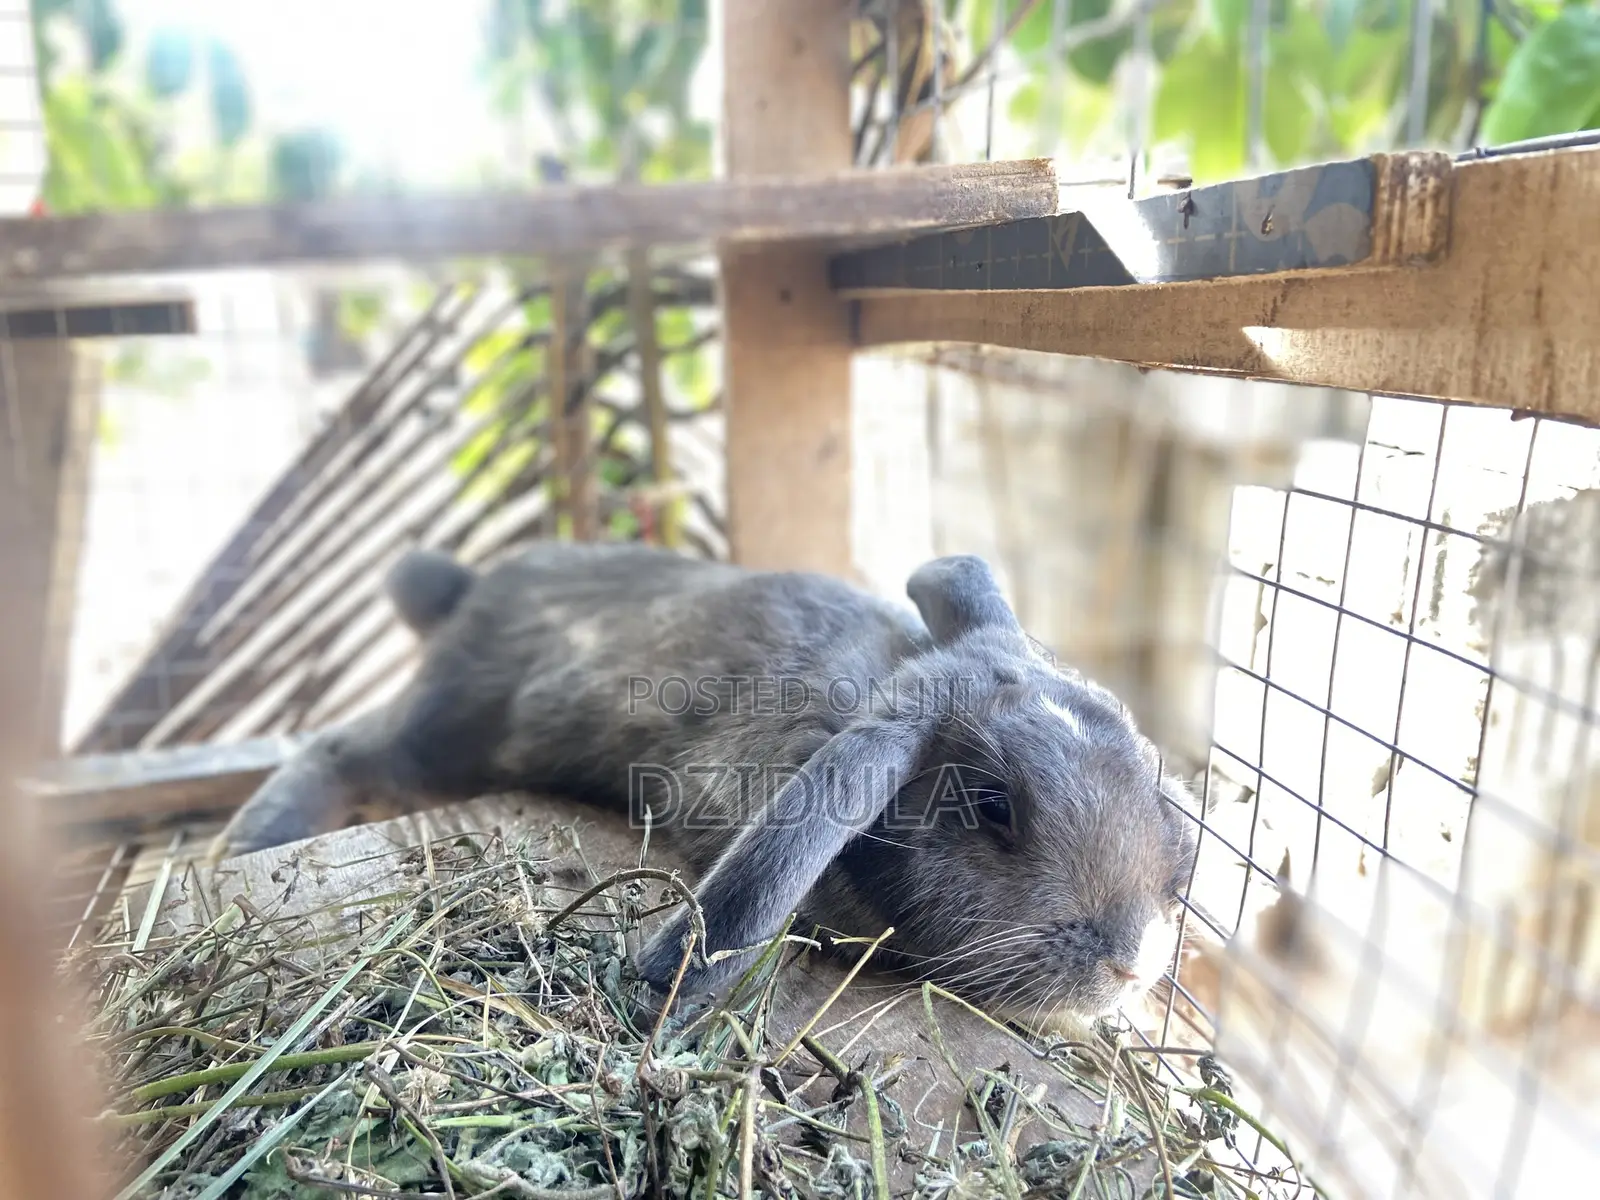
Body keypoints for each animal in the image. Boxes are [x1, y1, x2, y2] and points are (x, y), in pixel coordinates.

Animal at [208, 541, 1199, 1022]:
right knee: (335, 749)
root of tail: (465, 591)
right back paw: (252, 840)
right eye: (995, 810)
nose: (1131, 963)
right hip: (440, 732)